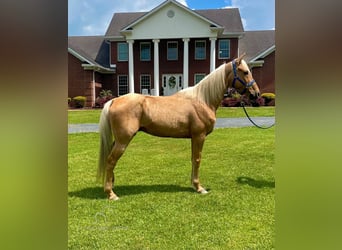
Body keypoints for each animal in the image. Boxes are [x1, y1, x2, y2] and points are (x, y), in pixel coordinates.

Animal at [96, 53, 260, 200]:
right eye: (245, 72)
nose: (256, 94)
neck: (203, 100)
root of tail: (114, 100)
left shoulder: (194, 138)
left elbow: (193, 159)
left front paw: (194, 185)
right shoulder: (199, 136)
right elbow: (197, 159)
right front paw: (199, 188)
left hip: (118, 140)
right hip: (123, 141)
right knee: (111, 161)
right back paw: (111, 194)